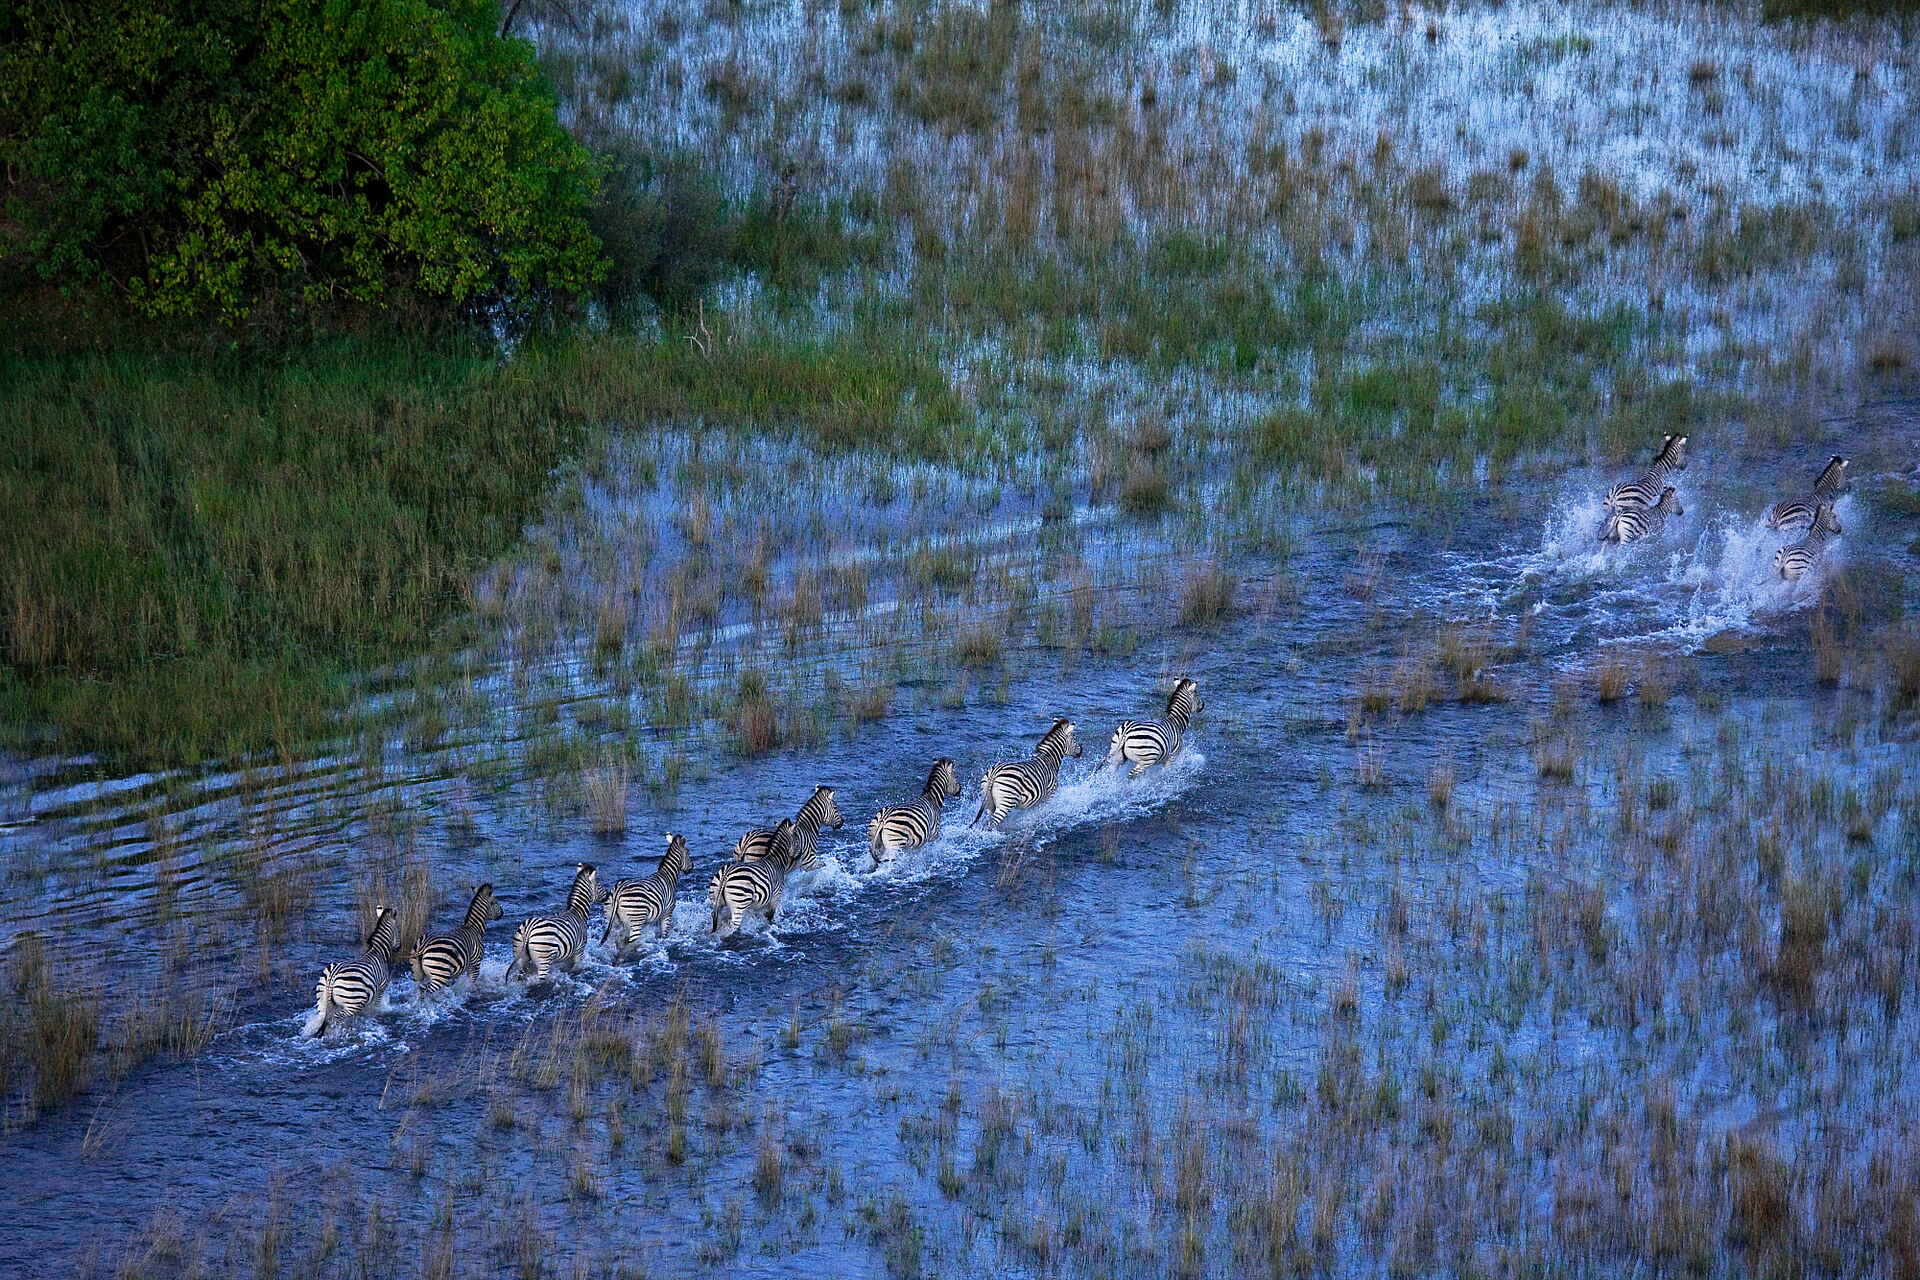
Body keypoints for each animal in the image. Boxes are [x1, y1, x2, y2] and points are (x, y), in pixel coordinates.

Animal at [307, 906, 400, 1037]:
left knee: (322, 1018)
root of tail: (332, 977)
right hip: (352, 1002)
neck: (378, 952)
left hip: (322, 1000)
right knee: (335, 1019)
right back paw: (340, 1032)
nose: (399, 947)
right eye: (398, 930)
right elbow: (376, 1007)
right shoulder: (381, 987)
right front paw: (375, 1016)